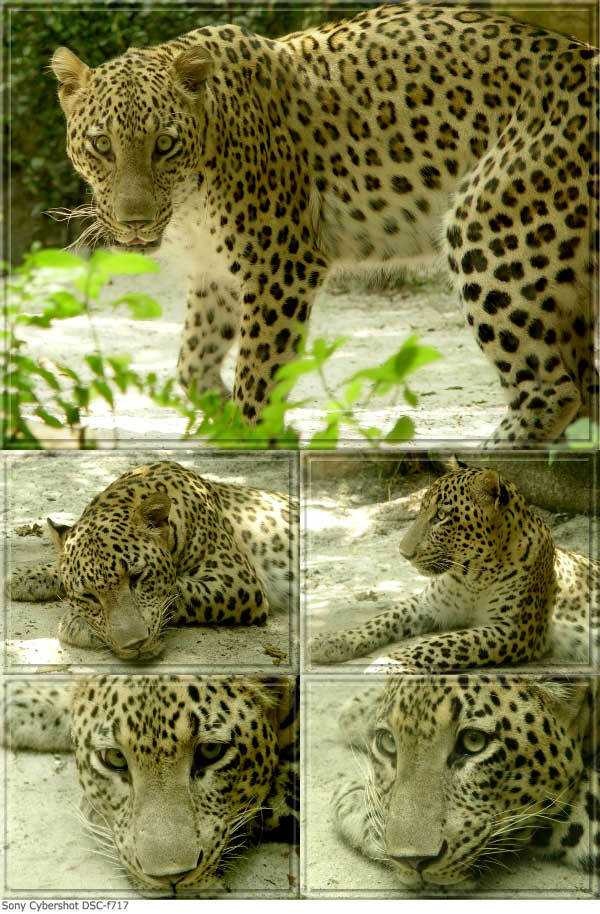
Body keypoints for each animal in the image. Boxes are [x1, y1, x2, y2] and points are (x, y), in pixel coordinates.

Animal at [7, 460, 297, 660]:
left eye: (137, 578)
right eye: (88, 595)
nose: (134, 645)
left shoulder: (237, 580)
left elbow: (178, 590)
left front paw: (76, 623)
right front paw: (24, 577)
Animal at [50, 2, 598, 444]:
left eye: (163, 144)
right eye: (102, 145)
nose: (135, 221)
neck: (187, 199)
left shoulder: (280, 263)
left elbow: (258, 370)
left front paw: (255, 438)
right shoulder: (213, 273)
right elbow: (193, 363)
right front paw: (221, 417)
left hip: (488, 226)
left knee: (552, 388)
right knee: (584, 383)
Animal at [309, 467, 599, 671]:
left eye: (441, 516)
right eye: (421, 511)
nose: (404, 553)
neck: (475, 576)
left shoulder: (515, 630)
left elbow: (441, 643)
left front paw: (388, 663)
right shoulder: (428, 604)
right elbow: (383, 618)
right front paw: (332, 641)